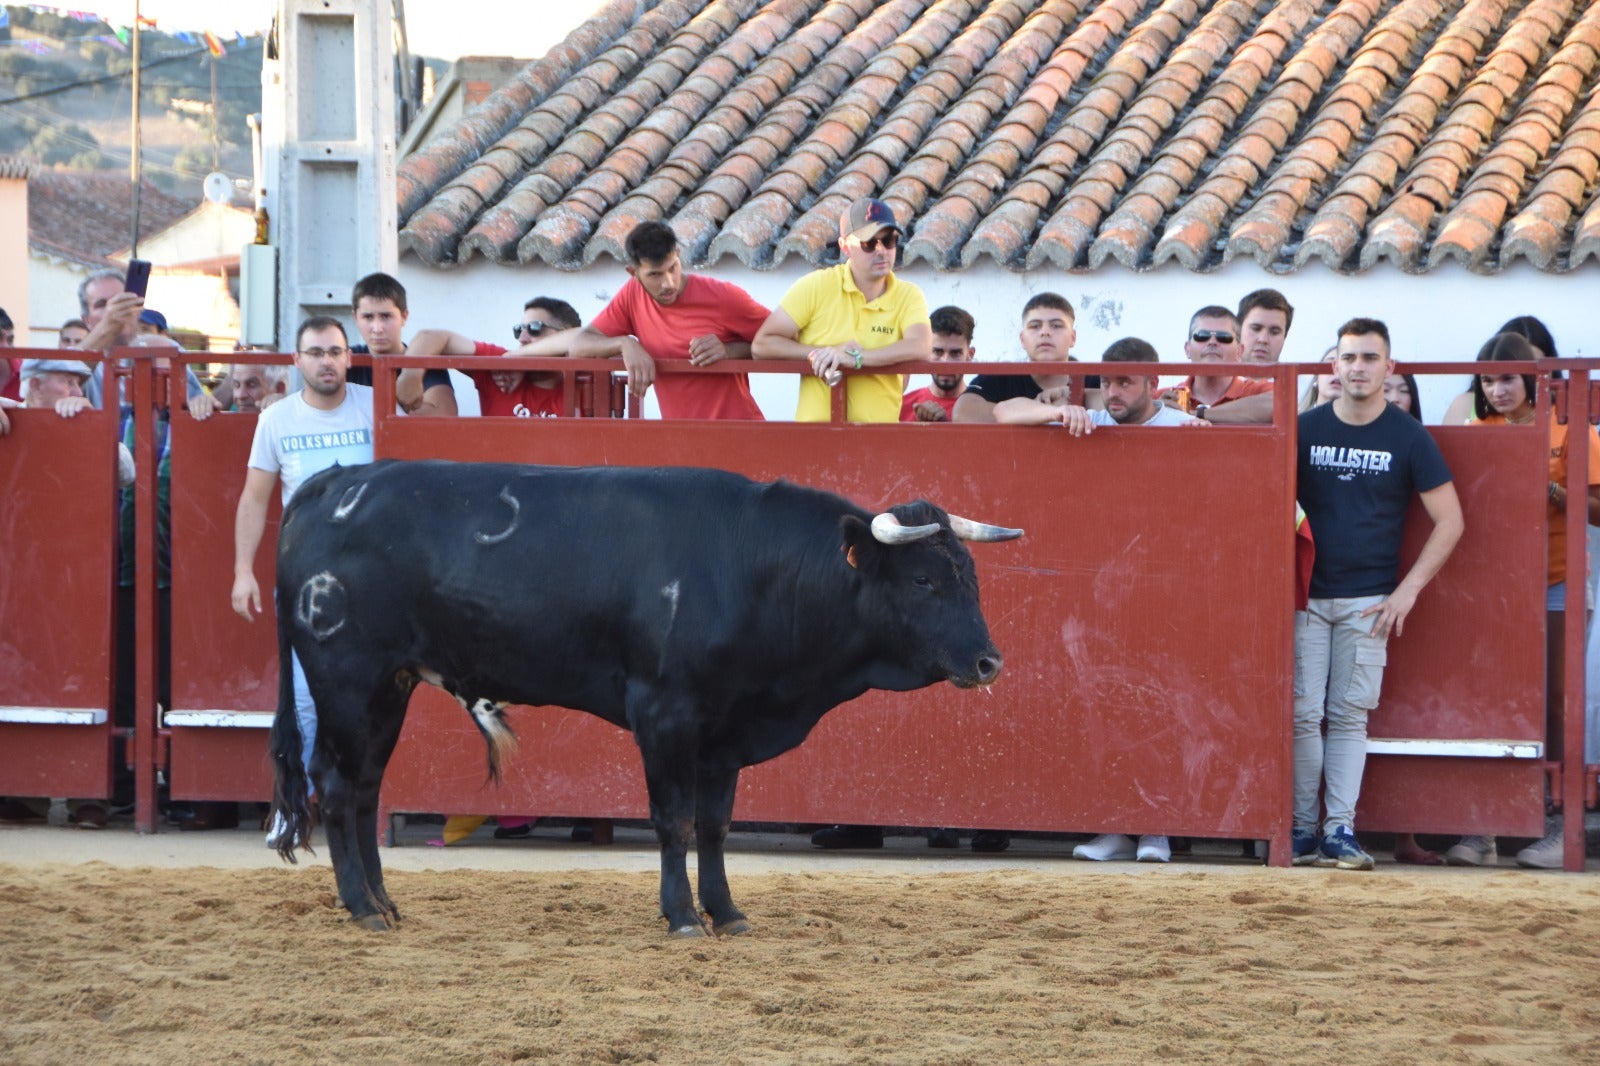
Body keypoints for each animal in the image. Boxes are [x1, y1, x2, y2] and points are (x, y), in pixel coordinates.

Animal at [268, 457, 1017, 928]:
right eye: (923, 580)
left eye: (972, 577)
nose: (989, 662)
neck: (753, 570)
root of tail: (336, 483)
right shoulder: (664, 716)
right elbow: (673, 820)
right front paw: (683, 915)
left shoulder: (724, 733)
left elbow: (714, 824)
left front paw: (727, 913)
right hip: (346, 679)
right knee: (335, 786)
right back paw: (362, 908)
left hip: (389, 687)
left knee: (366, 788)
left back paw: (383, 902)